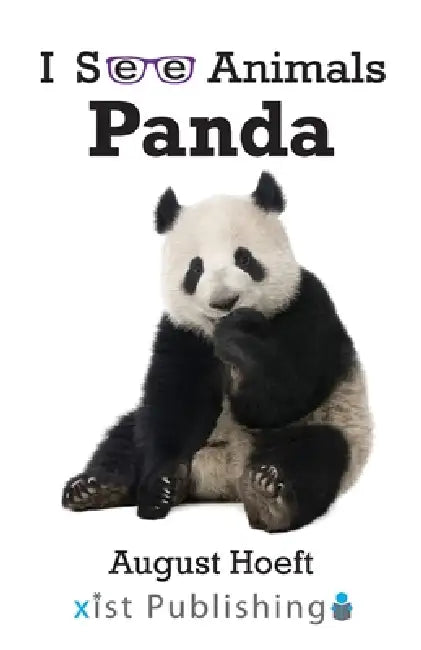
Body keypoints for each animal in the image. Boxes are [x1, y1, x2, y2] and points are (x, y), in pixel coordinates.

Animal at [62, 172, 372, 532]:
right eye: (195, 269)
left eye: (244, 258)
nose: (225, 302)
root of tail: (223, 480)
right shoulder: (182, 333)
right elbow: (174, 403)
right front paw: (160, 487)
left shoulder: (307, 307)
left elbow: (285, 395)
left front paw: (238, 342)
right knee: (124, 437)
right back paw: (96, 488)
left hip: (333, 427)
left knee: (316, 452)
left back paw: (269, 497)